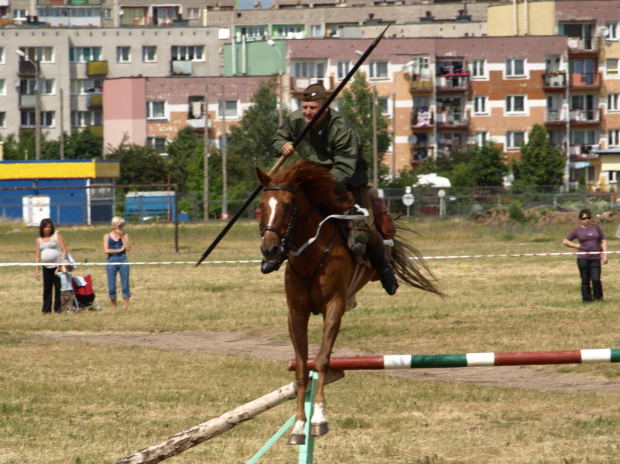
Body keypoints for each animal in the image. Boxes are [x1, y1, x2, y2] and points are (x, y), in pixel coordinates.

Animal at [256, 160, 440, 446]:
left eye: (287, 205)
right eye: (262, 205)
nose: (270, 250)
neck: (311, 255)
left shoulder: (334, 308)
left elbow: (322, 360)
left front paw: (318, 418)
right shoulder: (296, 314)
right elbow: (301, 368)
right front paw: (299, 425)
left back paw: (389, 277)